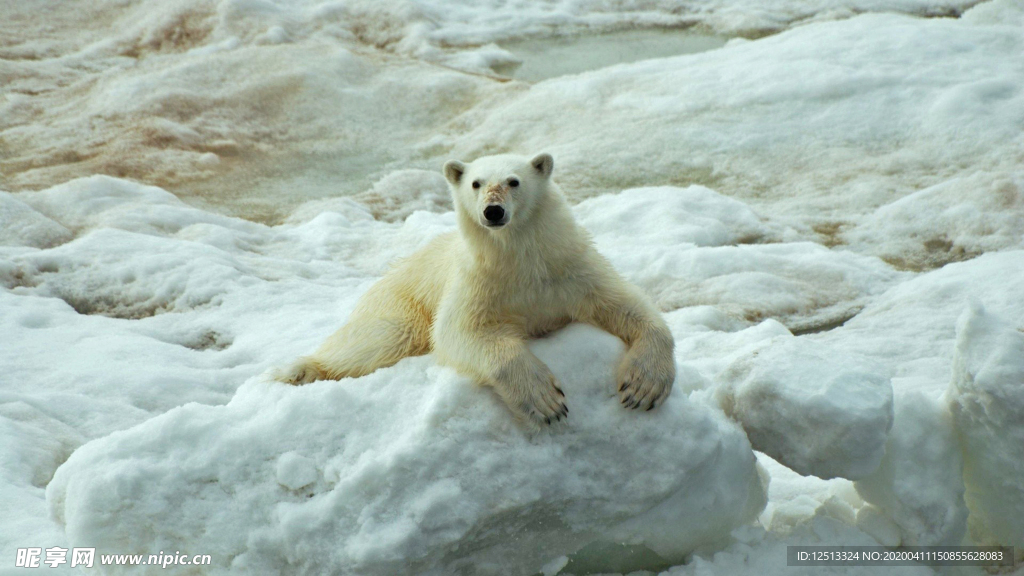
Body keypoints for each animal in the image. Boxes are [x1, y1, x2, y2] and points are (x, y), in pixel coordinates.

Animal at [276, 154, 675, 424]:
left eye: (514, 181)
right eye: (476, 183)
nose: (493, 212)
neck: (522, 262)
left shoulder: (570, 270)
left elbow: (626, 305)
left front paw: (642, 388)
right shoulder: (478, 283)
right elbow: (460, 332)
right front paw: (546, 401)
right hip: (399, 302)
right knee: (380, 339)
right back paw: (299, 371)